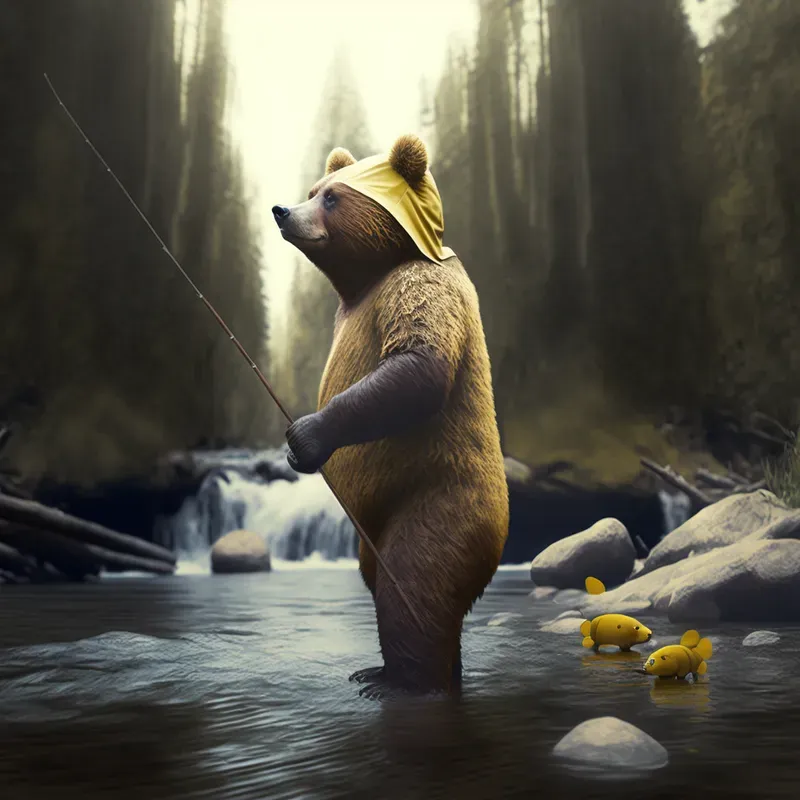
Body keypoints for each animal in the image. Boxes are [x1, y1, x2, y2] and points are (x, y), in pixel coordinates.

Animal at [271, 133, 509, 699]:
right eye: (314, 190)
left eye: (333, 198)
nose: (283, 211)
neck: (369, 277)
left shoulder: (419, 288)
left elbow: (417, 365)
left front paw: (306, 436)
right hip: (367, 533)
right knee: (379, 578)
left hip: (444, 497)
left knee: (414, 583)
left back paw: (405, 681)